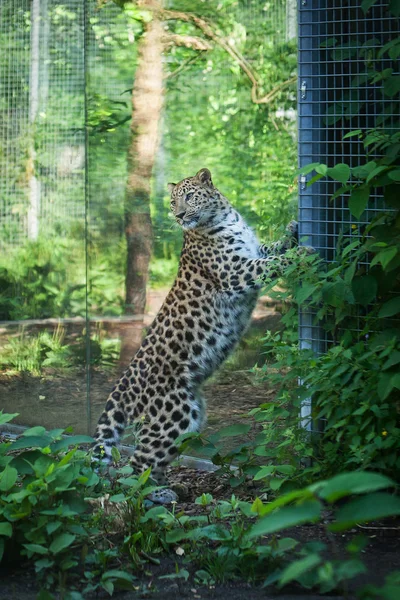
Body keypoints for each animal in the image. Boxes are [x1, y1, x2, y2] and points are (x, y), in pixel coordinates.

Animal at [92, 166, 304, 500]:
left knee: (154, 458)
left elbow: (271, 250)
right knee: (138, 463)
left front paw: (292, 230)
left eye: (190, 196)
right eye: (172, 202)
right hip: (173, 414)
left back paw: (169, 488)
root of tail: (126, 380)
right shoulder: (236, 271)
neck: (226, 217)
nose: (179, 215)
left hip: (190, 414)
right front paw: (303, 254)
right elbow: (272, 264)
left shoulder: (254, 251)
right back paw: (154, 497)